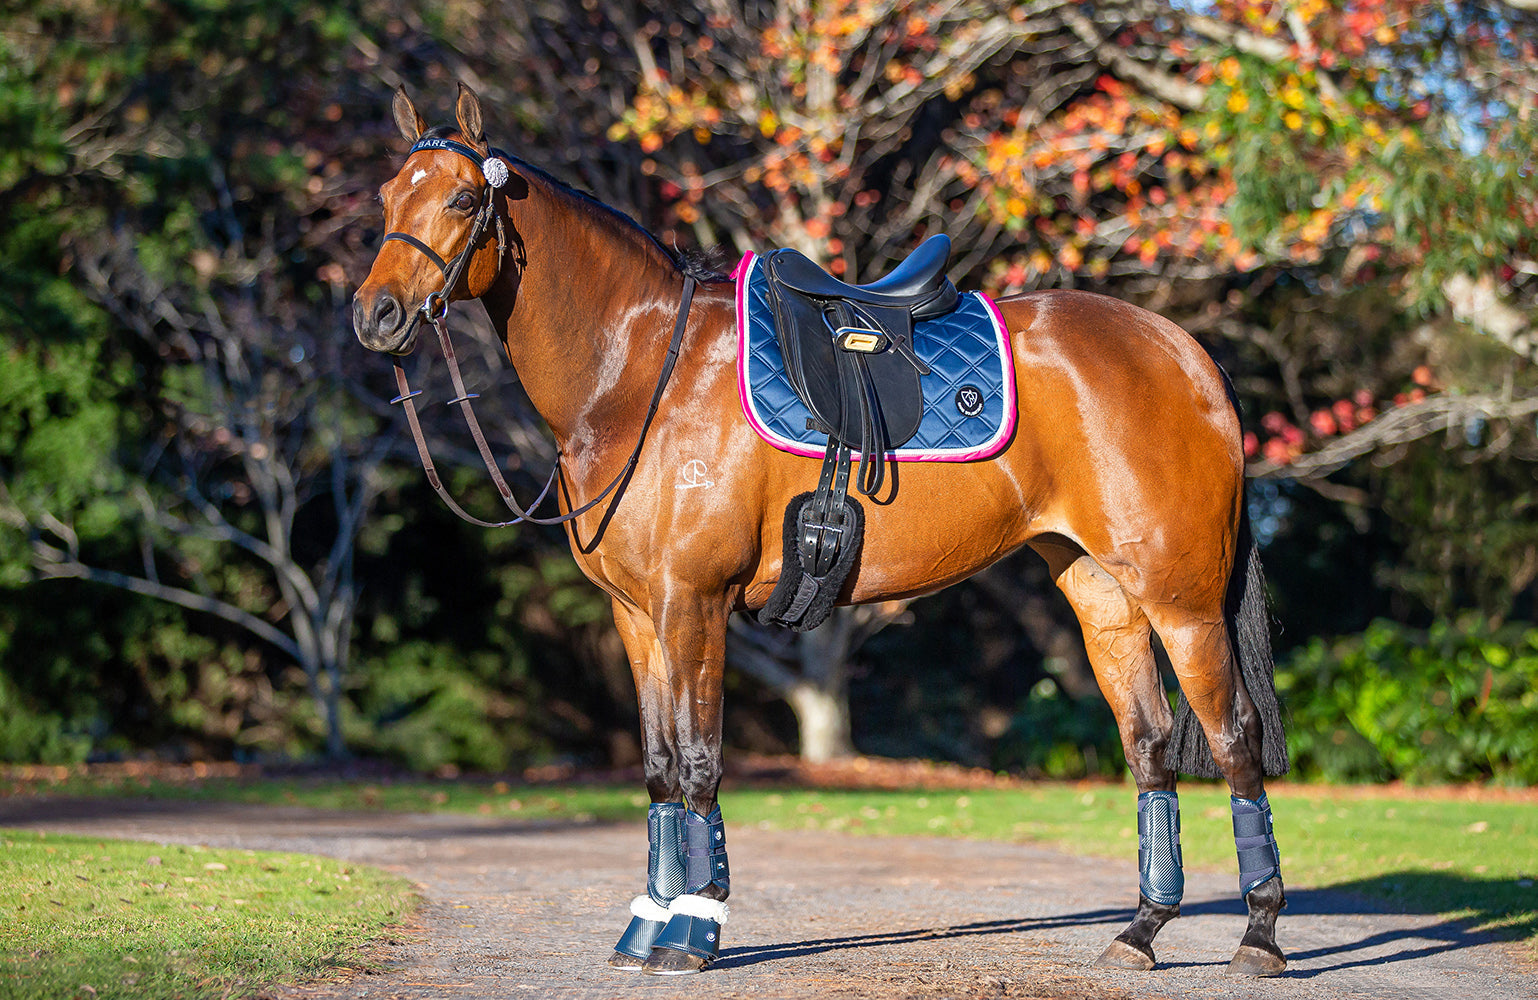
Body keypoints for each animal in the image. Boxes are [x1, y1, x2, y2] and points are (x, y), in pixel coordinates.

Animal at [353, 84, 1291, 979]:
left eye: (464, 199)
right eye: (389, 196)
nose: (378, 317)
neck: (642, 374)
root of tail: (1185, 352)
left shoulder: (693, 605)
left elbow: (698, 761)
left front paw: (692, 933)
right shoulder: (637, 615)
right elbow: (657, 767)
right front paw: (645, 925)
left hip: (1182, 602)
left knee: (1233, 738)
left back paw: (1260, 936)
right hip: (1104, 595)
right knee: (1151, 746)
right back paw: (1141, 932)